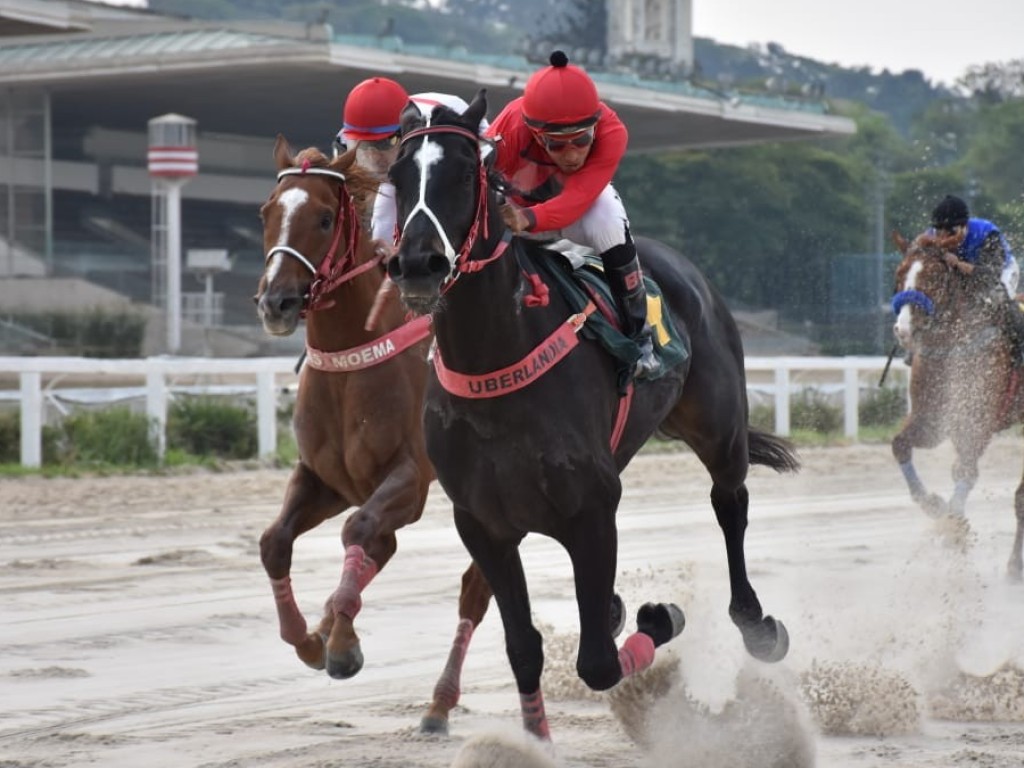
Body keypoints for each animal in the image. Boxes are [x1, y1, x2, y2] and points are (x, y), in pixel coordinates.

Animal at [256, 137, 495, 733]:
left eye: (323, 217)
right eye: (266, 213)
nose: (276, 302)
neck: (351, 361)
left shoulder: (408, 479)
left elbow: (360, 531)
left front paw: (341, 646)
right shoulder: (327, 478)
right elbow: (277, 542)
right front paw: (311, 639)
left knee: (476, 588)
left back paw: (438, 704)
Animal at [385, 93, 798, 741]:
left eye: (464, 174)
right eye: (397, 176)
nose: (418, 263)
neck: (494, 361)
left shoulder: (592, 510)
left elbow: (600, 662)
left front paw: (661, 616)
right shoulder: (483, 524)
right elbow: (523, 646)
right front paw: (534, 740)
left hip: (720, 428)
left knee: (730, 504)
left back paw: (756, 625)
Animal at [888, 231, 1024, 581]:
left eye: (934, 277)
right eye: (899, 273)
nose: (903, 329)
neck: (952, 345)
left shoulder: (977, 422)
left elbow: (966, 471)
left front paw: (953, 528)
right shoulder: (932, 421)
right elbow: (900, 444)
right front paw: (935, 505)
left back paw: (1013, 566)